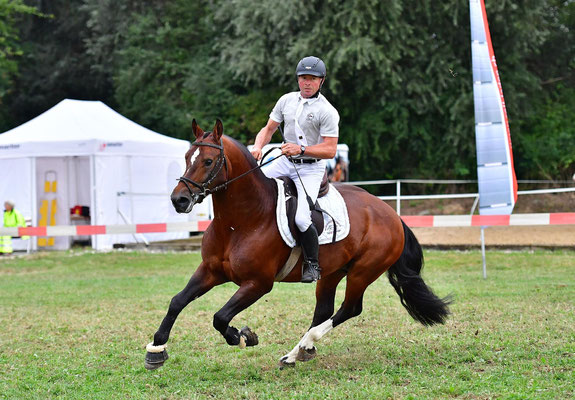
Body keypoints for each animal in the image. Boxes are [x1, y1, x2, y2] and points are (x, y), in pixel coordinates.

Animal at [144, 119, 450, 368]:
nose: (179, 200)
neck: (240, 221)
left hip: (363, 273)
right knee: (324, 310)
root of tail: (391, 214)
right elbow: (177, 301)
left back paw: (303, 346)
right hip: (331, 272)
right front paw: (156, 349)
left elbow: (220, 317)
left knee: (349, 309)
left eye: (208, 161)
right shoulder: (210, 271)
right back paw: (298, 352)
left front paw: (243, 336)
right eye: (187, 157)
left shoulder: (258, 283)